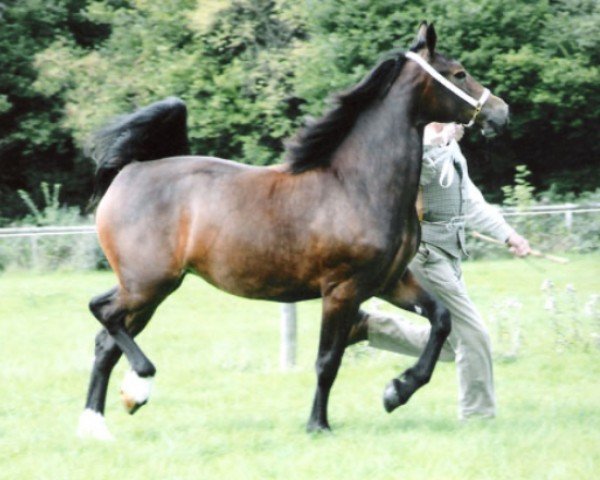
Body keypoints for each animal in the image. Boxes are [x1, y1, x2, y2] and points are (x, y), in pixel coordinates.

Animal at [75, 24, 506, 440]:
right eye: (459, 74)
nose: (502, 112)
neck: (357, 185)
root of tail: (130, 171)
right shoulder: (342, 290)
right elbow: (327, 361)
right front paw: (319, 424)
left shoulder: (389, 281)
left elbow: (441, 319)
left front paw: (396, 391)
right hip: (149, 285)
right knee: (101, 312)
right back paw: (139, 384)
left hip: (148, 289)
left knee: (105, 342)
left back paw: (98, 423)